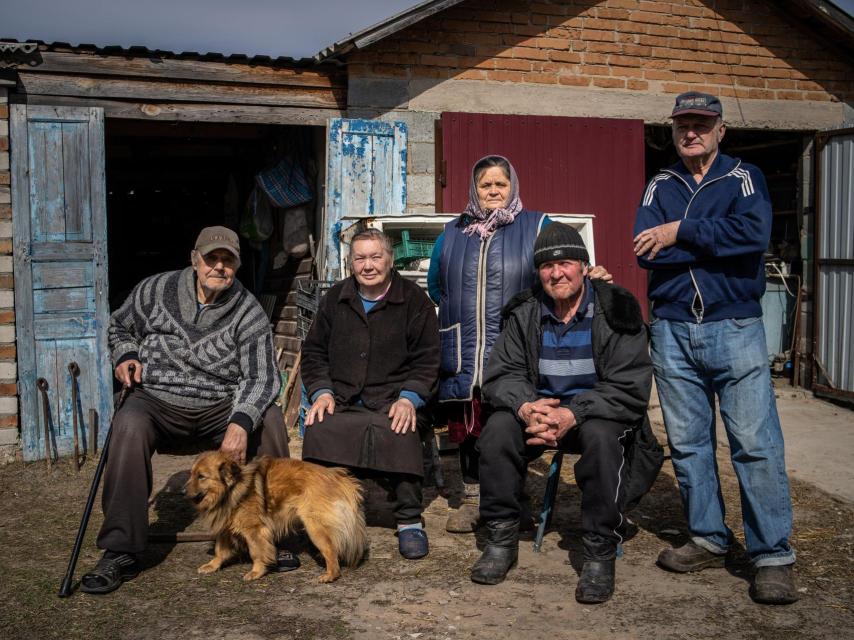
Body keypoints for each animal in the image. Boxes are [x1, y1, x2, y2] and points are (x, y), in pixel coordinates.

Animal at [187, 452, 368, 584]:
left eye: (201, 476)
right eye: (192, 474)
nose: (182, 492)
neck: (233, 489)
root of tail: (340, 477)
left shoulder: (255, 531)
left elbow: (256, 552)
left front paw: (256, 571)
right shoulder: (225, 528)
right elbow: (220, 550)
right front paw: (212, 565)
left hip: (315, 528)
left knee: (331, 550)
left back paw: (330, 575)